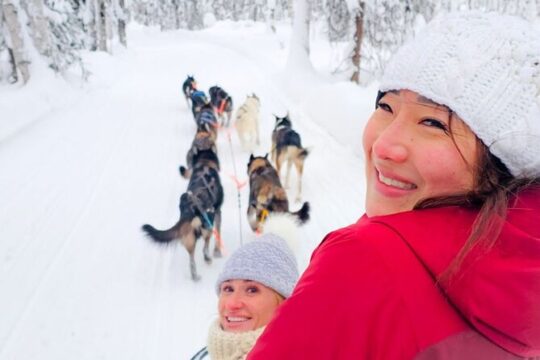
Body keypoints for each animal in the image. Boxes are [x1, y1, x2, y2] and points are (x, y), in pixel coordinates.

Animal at [141, 146, 224, 282]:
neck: (205, 164)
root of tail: (190, 207)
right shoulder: (217, 214)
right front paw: (217, 251)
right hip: (207, 227)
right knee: (205, 247)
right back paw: (207, 259)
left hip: (189, 237)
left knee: (191, 260)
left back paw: (195, 276)